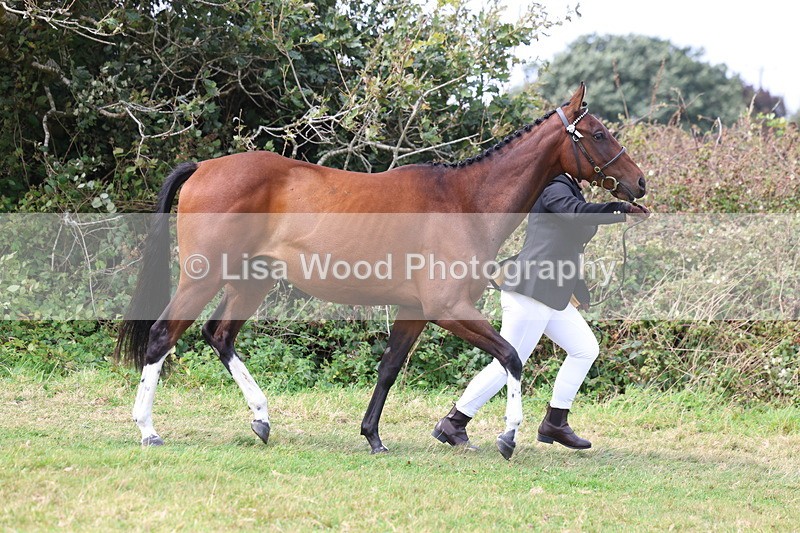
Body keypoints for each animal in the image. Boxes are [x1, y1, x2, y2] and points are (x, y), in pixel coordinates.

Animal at [115, 83, 646, 459]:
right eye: (599, 133)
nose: (639, 183)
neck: (463, 202)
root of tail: (203, 167)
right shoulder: (449, 308)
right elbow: (512, 357)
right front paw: (509, 436)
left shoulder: (415, 311)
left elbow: (389, 368)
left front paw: (373, 437)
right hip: (203, 277)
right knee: (163, 335)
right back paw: (148, 430)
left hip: (252, 280)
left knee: (219, 335)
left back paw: (262, 419)